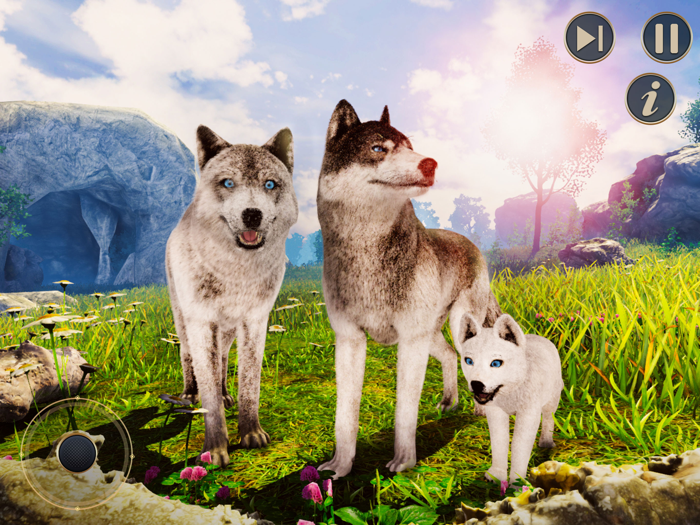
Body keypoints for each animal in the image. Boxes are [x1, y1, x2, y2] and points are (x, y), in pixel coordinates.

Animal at [165, 125, 298, 467]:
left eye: (269, 184)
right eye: (228, 183)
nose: (252, 214)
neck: (236, 271)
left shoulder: (255, 321)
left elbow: (249, 383)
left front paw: (251, 433)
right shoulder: (201, 322)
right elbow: (208, 391)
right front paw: (215, 449)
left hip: (226, 331)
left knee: (224, 359)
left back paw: (226, 393)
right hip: (185, 323)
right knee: (188, 356)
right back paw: (189, 394)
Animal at [316, 100, 502, 479]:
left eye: (410, 146)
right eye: (378, 149)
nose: (430, 163)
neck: (367, 253)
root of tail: (472, 245)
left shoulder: (410, 344)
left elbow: (404, 410)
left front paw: (403, 462)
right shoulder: (350, 341)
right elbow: (344, 414)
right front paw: (340, 465)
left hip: (458, 328)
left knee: (471, 359)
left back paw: (478, 409)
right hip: (430, 336)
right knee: (449, 356)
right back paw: (448, 401)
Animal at [457, 312, 564, 484]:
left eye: (496, 363)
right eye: (469, 361)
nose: (476, 384)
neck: (510, 393)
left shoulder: (528, 413)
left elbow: (519, 445)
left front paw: (517, 482)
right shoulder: (495, 411)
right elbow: (499, 441)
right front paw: (496, 475)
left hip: (552, 399)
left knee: (548, 418)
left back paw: (546, 443)